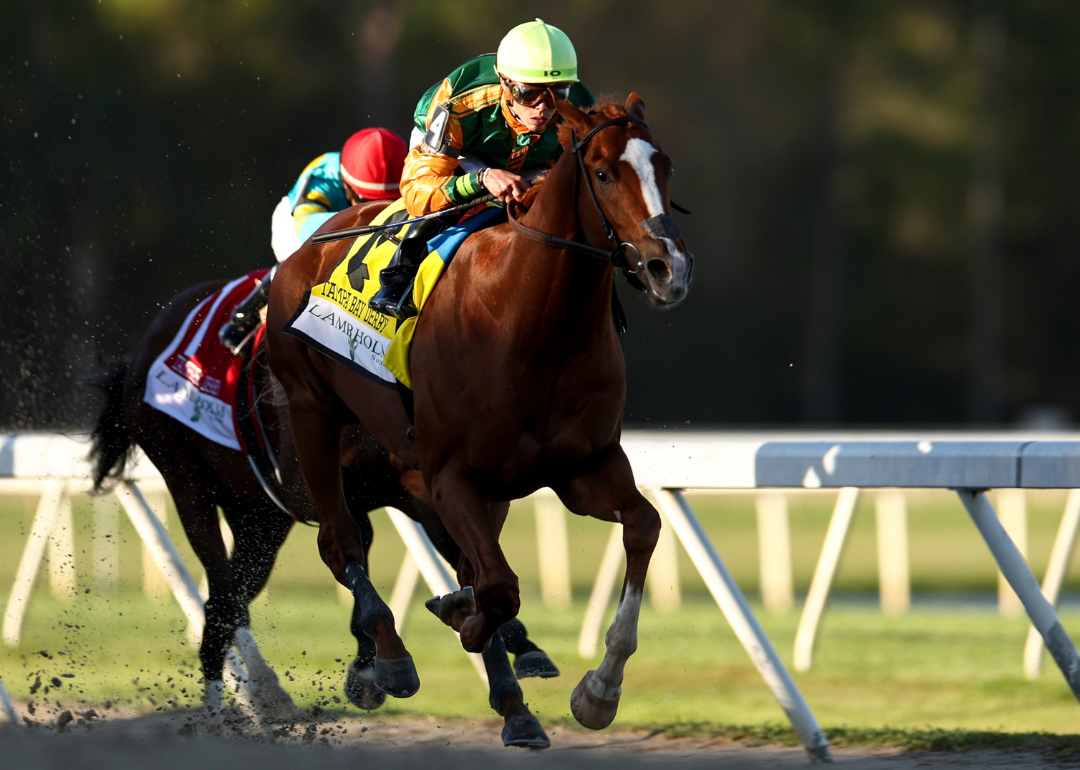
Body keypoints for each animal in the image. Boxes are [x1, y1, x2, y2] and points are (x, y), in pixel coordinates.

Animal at [87, 273, 557, 743]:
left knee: (228, 596)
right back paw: (244, 704)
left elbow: (461, 558)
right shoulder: (309, 483)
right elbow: (358, 541)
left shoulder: (419, 482)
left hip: (259, 520)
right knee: (222, 598)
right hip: (185, 480)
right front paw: (377, 658)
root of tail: (141, 352)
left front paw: (516, 649)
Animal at [266, 92, 695, 730]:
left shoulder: (584, 468)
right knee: (341, 543)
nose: (671, 269)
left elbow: (643, 526)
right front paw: (464, 623)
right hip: (312, 410)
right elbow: (497, 587)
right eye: (602, 173)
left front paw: (600, 689)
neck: (533, 326)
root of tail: (314, 241)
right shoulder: (451, 472)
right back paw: (392, 658)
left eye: (664, 167)